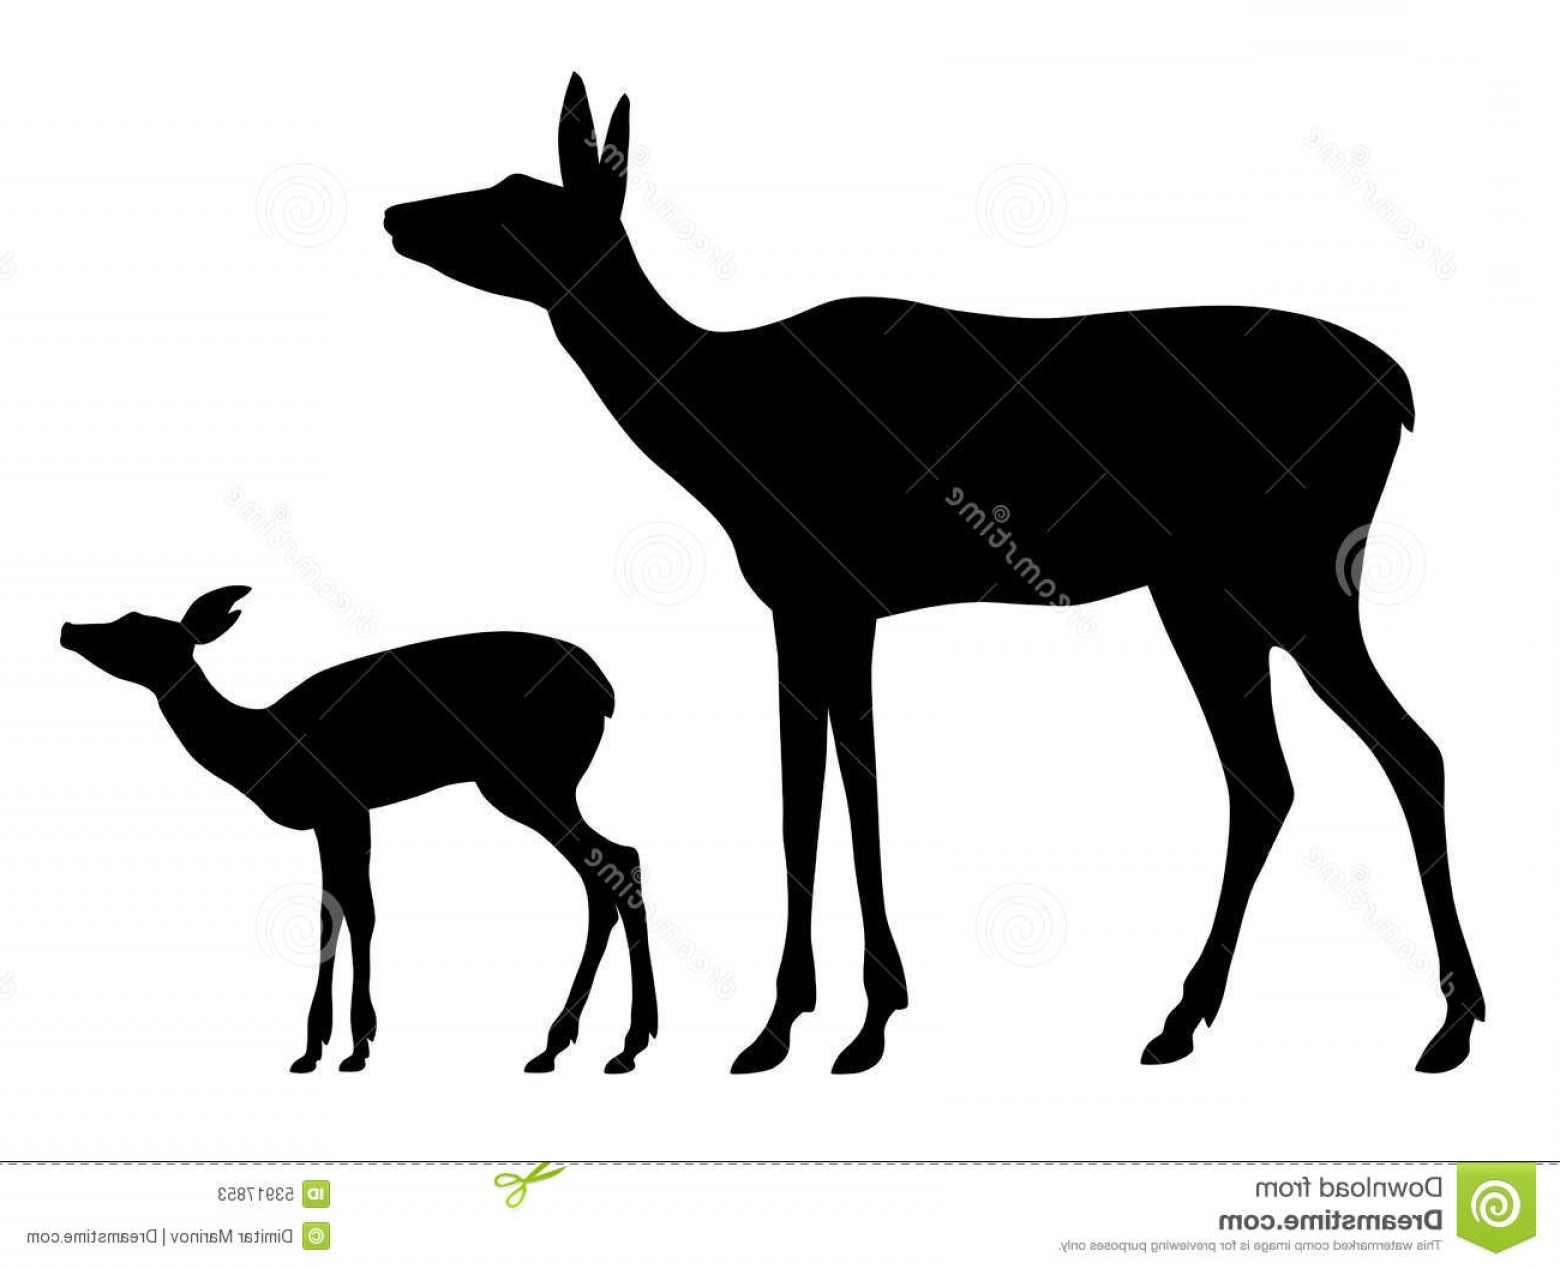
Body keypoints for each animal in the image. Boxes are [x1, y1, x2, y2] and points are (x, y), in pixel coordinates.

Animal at [60, 586, 658, 1074]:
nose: (69, 628)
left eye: (134, 626)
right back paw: (576, 1044)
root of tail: (605, 692)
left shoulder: (339, 807)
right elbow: (343, 909)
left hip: (528, 779)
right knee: (608, 869)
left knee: (617, 858)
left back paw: (617, 1043)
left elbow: (350, 911)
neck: (261, 750)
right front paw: (327, 1047)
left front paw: (345, 1045)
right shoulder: (344, 815)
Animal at [383, 74, 1484, 1075]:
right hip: (1205, 593)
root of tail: (1400, 392)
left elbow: (821, 793)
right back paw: (1183, 1017)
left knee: (1408, 749)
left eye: (515, 198)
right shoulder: (830, 604)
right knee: (1268, 778)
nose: (397, 216)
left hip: (1296, 575)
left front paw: (823, 1023)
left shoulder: (819, 592)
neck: (721, 433)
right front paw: (830, 1018)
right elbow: (831, 790)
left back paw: (1451, 1021)